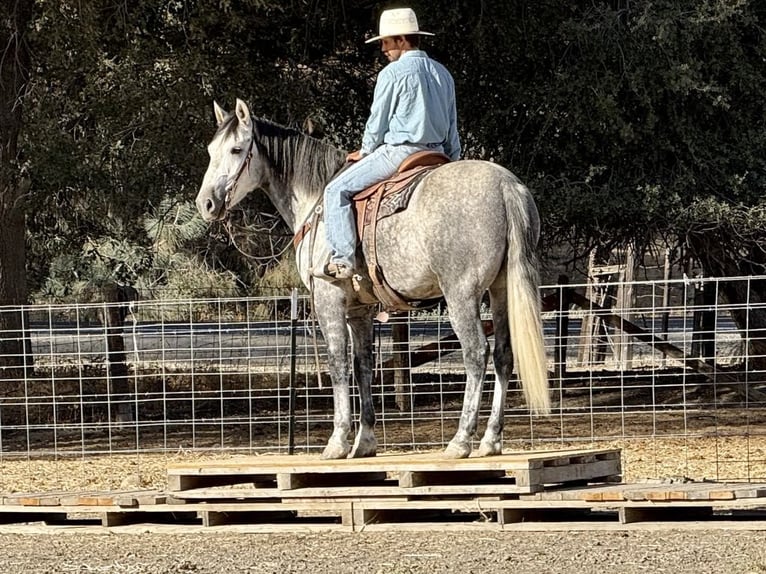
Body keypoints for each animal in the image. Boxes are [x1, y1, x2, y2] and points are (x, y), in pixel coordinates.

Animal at [195, 98, 548, 460]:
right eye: (211, 150)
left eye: (237, 149)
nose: (205, 203)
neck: (316, 200)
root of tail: (505, 186)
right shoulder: (359, 310)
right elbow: (363, 365)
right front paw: (364, 441)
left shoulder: (329, 297)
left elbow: (338, 364)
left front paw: (338, 441)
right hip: (501, 291)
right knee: (503, 356)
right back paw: (490, 440)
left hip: (461, 294)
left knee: (476, 354)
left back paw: (461, 440)